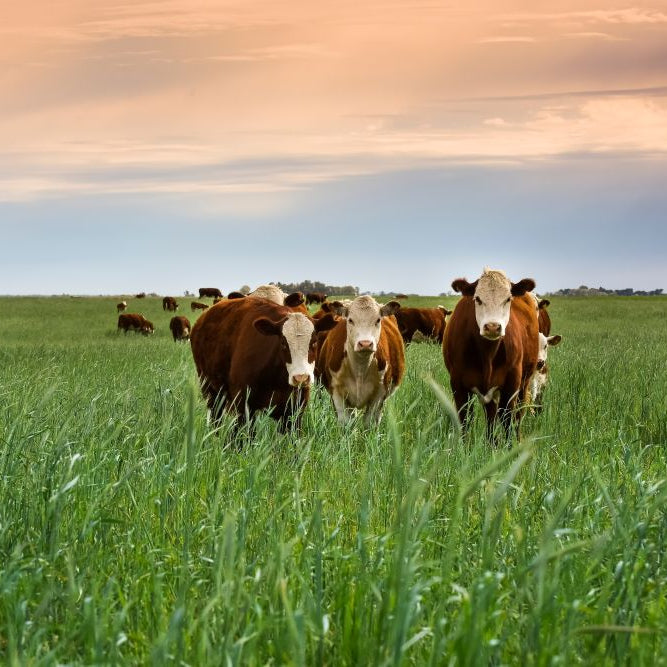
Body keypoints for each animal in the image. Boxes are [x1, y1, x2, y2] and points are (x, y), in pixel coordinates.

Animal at [190, 297, 337, 430]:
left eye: (314, 342)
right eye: (283, 342)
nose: (301, 378)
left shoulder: (294, 412)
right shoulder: (243, 407)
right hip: (210, 390)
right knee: (216, 418)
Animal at [316, 296, 404, 426]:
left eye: (378, 320)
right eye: (350, 320)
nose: (365, 343)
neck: (360, 369)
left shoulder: (379, 393)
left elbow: (369, 422)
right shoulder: (336, 392)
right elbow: (345, 423)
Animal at [443, 268, 538, 442]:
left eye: (508, 299)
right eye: (478, 299)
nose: (493, 327)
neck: (487, 355)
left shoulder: (512, 384)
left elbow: (508, 422)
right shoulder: (458, 385)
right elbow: (465, 421)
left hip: (524, 383)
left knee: (516, 417)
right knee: (492, 418)